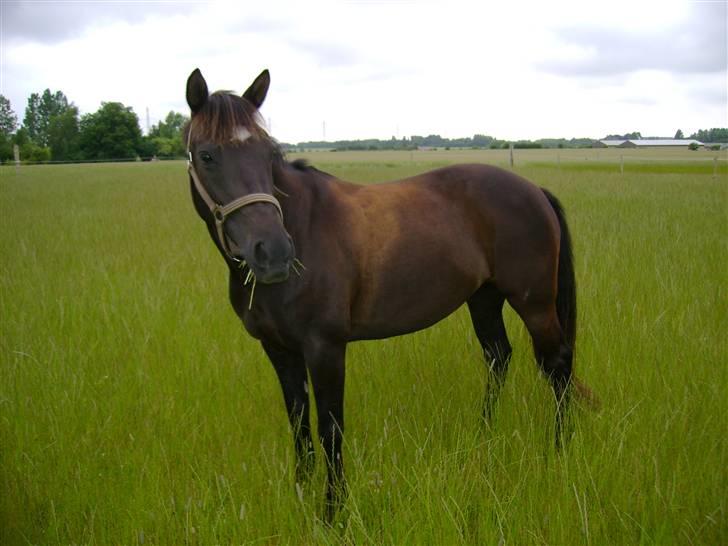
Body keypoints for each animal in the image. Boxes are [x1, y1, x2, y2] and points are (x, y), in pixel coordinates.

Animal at [183, 68, 594, 518]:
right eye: (206, 155)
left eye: (269, 154)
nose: (273, 253)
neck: (304, 227)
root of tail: (534, 190)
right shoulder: (278, 349)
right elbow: (298, 424)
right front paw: (301, 493)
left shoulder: (325, 348)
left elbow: (330, 429)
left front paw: (334, 512)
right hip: (484, 298)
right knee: (498, 357)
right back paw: (485, 434)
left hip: (534, 303)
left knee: (556, 365)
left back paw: (560, 447)